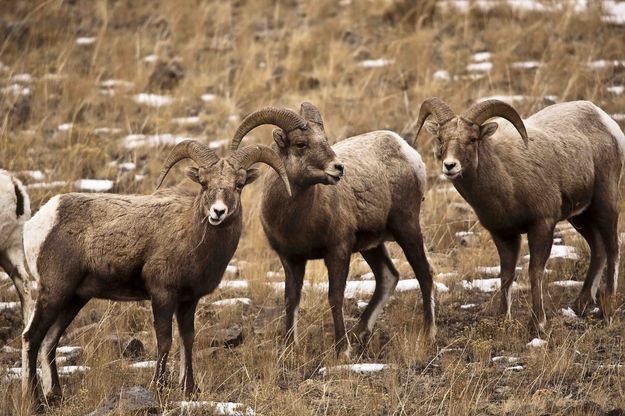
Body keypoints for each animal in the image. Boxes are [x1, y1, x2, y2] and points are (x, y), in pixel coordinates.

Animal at [20, 140, 290, 404]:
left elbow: (187, 339)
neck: (192, 237)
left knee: (49, 340)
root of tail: (38, 222)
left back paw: (56, 395)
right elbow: (165, 340)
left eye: (238, 185)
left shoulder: (188, 300)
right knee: (32, 338)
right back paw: (34, 399)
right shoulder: (162, 295)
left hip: (74, 298)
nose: (218, 212)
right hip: (54, 292)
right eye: (204, 183)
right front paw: (158, 387)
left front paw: (190, 390)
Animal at [232, 102, 436, 356]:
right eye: (301, 144)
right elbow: (291, 299)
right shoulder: (290, 259)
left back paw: (428, 333)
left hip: (406, 228)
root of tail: (407, 151)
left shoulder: (338, 251)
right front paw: (289, 347)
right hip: (372, 245)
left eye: (325, 140)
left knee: (424, 273)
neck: (295, 219)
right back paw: (358, 333)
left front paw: (342, 350)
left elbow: (335, 297)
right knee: (388, 277)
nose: (338, 168)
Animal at [414, 96, 624, 332]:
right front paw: (503, 318)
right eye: (441, 138)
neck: (506, 181)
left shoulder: (542, 225)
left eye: (473, 139)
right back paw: (581, 305)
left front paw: (537, 323)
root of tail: (606, 121)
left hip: (604, 203)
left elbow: (535, 271)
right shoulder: (503, 235)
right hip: (579, 217)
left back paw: (608, 309)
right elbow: (506, 275)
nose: (450, 166)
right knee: (598, 248)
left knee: (613, 247)